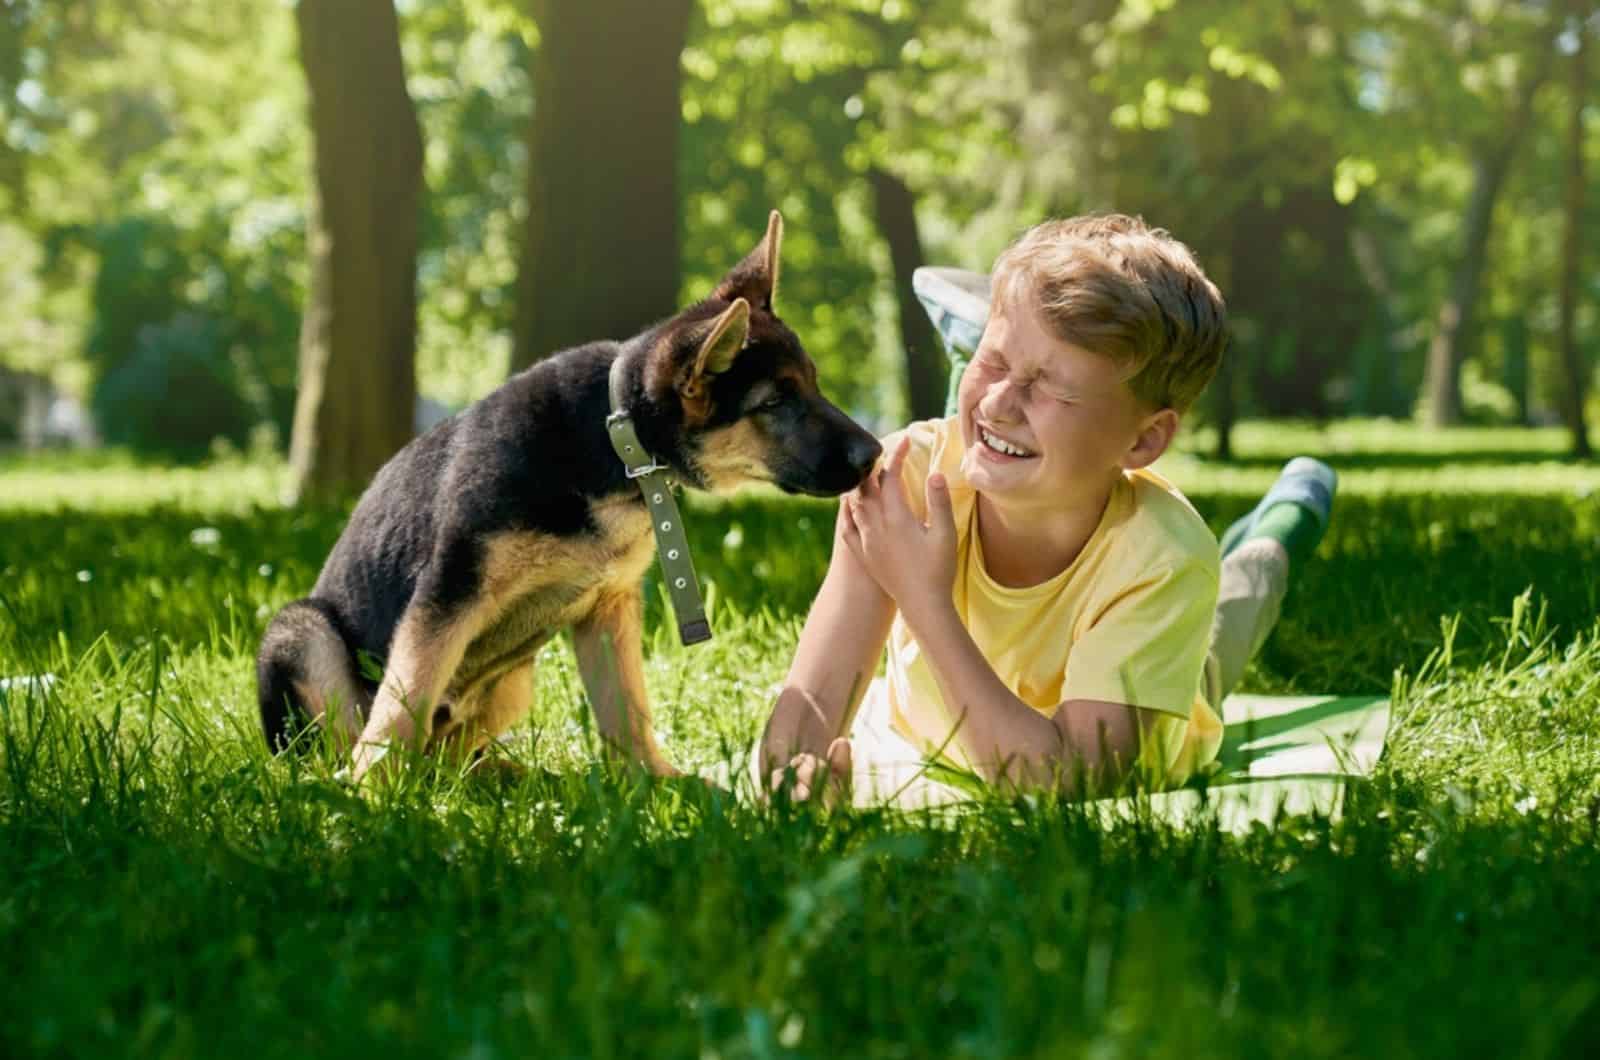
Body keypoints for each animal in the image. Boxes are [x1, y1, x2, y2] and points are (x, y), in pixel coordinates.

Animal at [265, 214, 889, 781]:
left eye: (813, 383)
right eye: (775, 402)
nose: (876, 454)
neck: (615, 439)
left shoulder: (606, 608)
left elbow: (627, 710)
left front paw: (657, 784)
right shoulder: (449, 593)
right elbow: (405, 699)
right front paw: (371, 793)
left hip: (514, 683)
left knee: (449, 755)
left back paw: (500, 776)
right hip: (302, 633)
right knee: (345, 741)